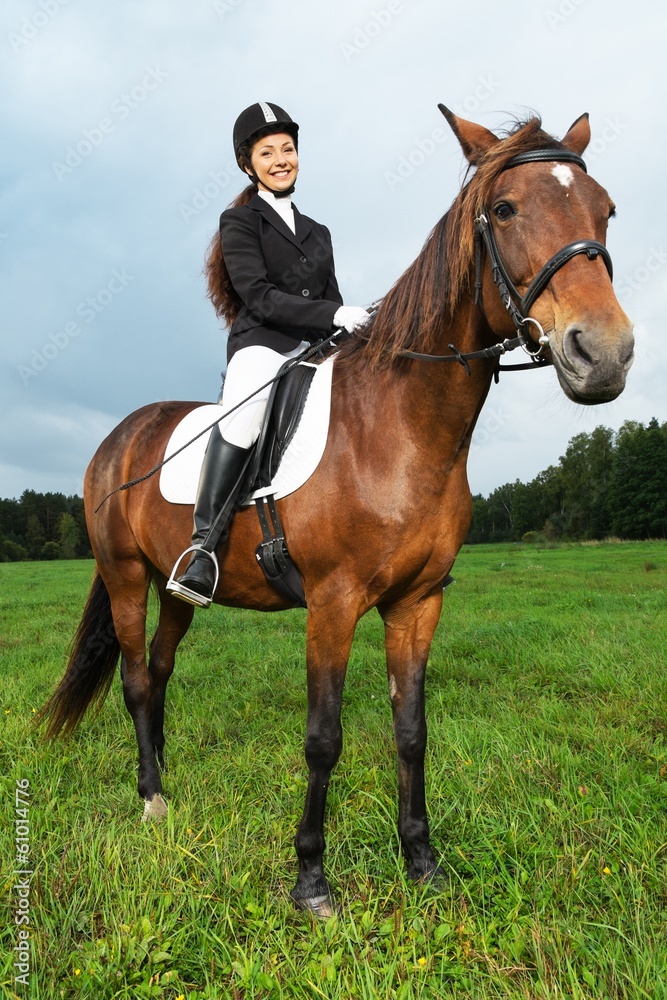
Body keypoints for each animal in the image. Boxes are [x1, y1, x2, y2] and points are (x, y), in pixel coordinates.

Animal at [41, 107, 636, 916]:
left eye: (605, 210)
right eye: (507, 209)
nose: (603, 355)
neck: (402, 426)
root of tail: (119, 436)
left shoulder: (418, 602)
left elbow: (411, 730)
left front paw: (421, 861)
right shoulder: (332, 602)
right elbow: (323, 738)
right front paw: (311, 881)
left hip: (176, 588)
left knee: (159, 671)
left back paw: (162, 779)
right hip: (126, 576)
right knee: (136, 680)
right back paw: (152, 801)